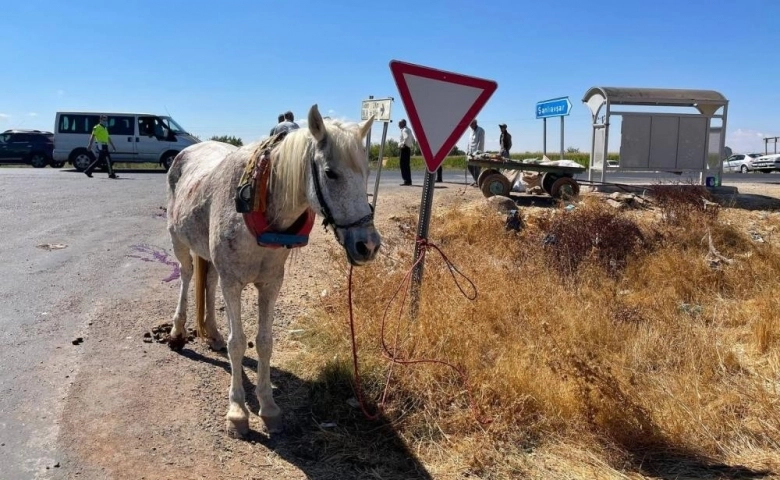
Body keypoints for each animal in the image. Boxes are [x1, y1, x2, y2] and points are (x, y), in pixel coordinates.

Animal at [167, 105, 380, 438]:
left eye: (367, 173)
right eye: (330, 173)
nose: (367, 245)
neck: (257, 201)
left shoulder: (270, 284)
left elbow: (264, 342)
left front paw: (268, 407)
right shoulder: (233, 283)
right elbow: (238, 343)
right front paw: (237, 411)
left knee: (209, 281)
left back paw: (212, 332)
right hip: (178, 240)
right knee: (187, 275)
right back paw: (177, 330)